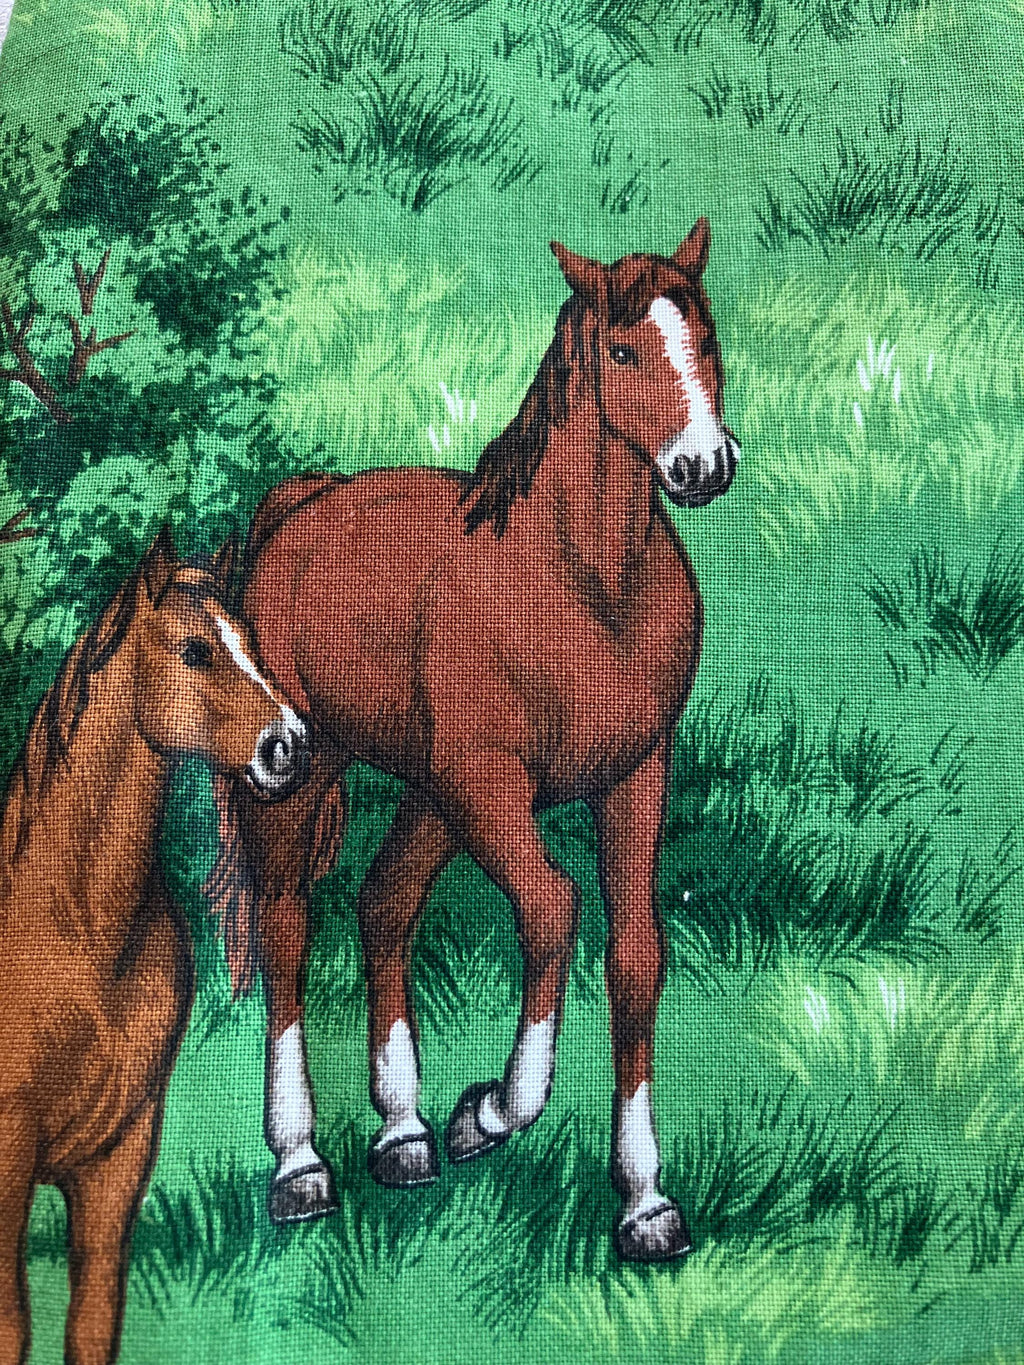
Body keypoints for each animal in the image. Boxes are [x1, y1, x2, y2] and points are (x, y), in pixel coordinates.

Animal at [0, 529, 309, 1365]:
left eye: (252, 644)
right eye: (195, 650)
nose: (288, 747)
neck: (73, 928)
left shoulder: (120, 1155)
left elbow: (92, 1322)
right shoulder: (7, 1156)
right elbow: (11, 1323)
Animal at [210, 219, 739, 1262]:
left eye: (705, 337)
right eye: (623, 352)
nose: (704, 465)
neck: (583, 585)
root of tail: (301, 507)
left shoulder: (635, 777)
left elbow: (635, 956)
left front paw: (645, 1202)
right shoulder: (493, 787)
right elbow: (551, 910)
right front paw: (493, 1109)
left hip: (430, 795)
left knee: (383, 904)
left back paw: (403, 1135)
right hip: (303, 776)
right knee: (289, 927)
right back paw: (301, 1166)